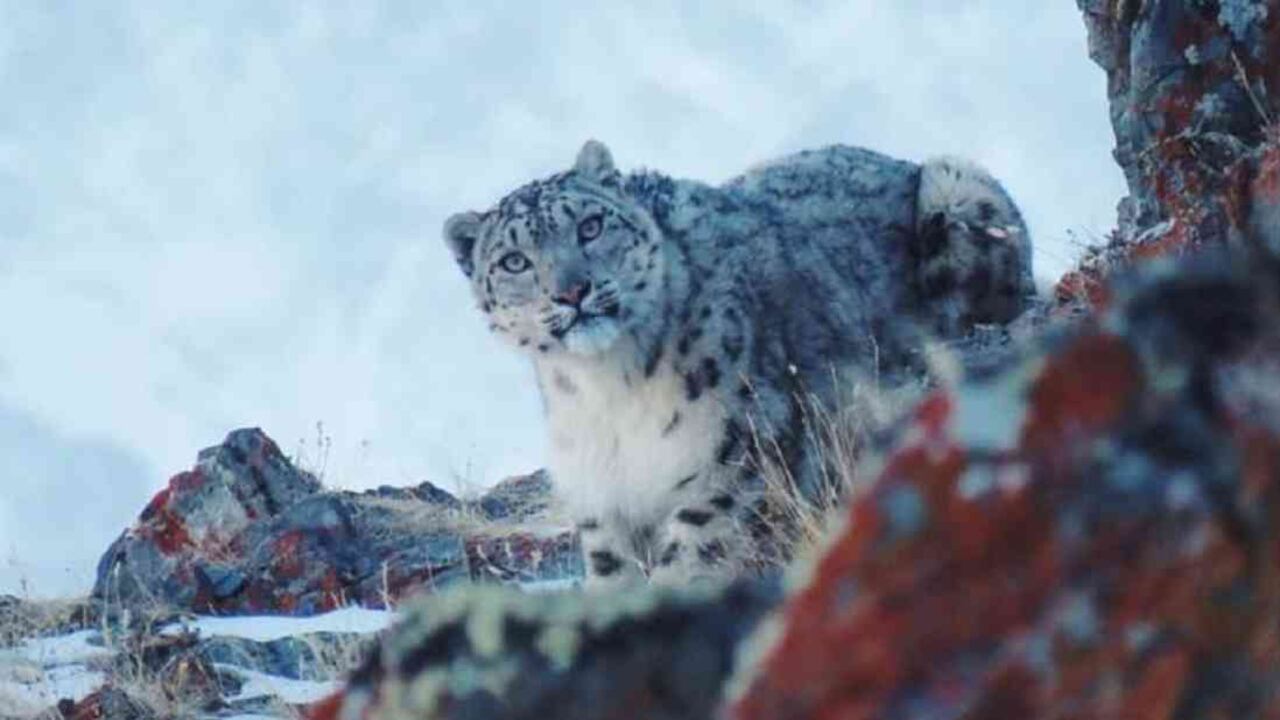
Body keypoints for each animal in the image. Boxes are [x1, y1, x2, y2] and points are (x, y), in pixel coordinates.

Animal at [443, 140, 1033, 588]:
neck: (609, 390)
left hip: (957, 189)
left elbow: (694, 552)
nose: (572, 291)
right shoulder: (600, 496)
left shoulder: (737, 454)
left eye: (590, 226)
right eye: (513, 261)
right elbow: (611, 572)